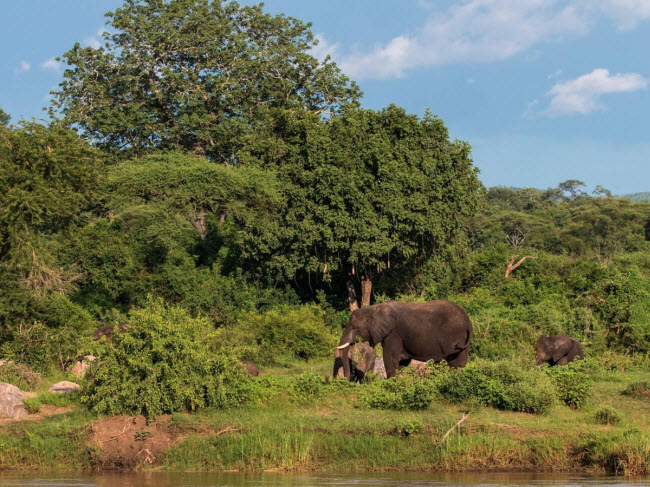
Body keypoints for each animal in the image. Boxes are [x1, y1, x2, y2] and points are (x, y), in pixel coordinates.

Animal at [334, 302, 470, 382]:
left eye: (354, 328)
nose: (346, 379)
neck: (373, 309)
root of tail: (467, 320)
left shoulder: (392, 334)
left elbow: (390, 358)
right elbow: (402, 361)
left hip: (452, 335)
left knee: (453, 361)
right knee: (459, 362)